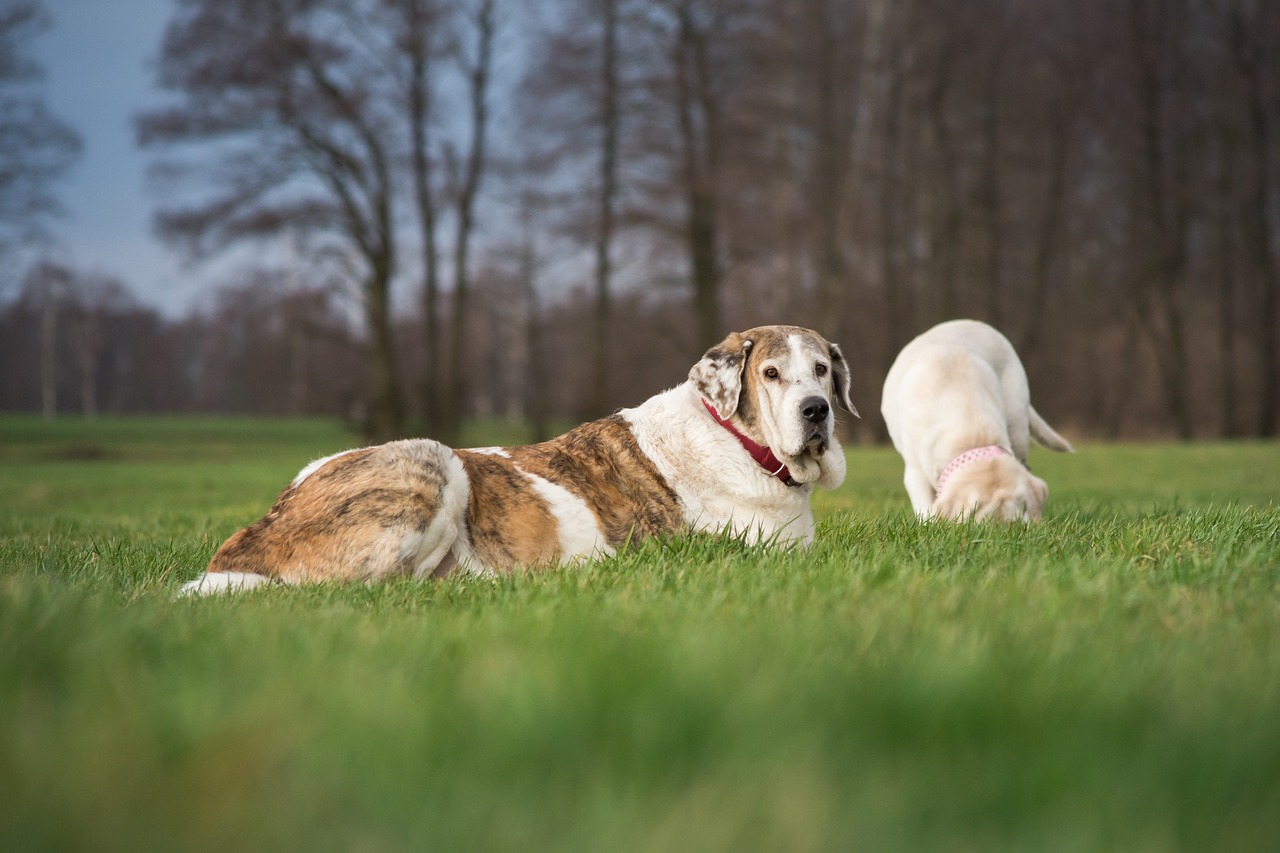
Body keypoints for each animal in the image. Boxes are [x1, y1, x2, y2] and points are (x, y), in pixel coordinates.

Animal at [180, 322, 860, 594]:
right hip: (431, 460)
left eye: (822, 370)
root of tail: (252, 536)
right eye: (770, 374)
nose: (816, 410)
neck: (740, 441)